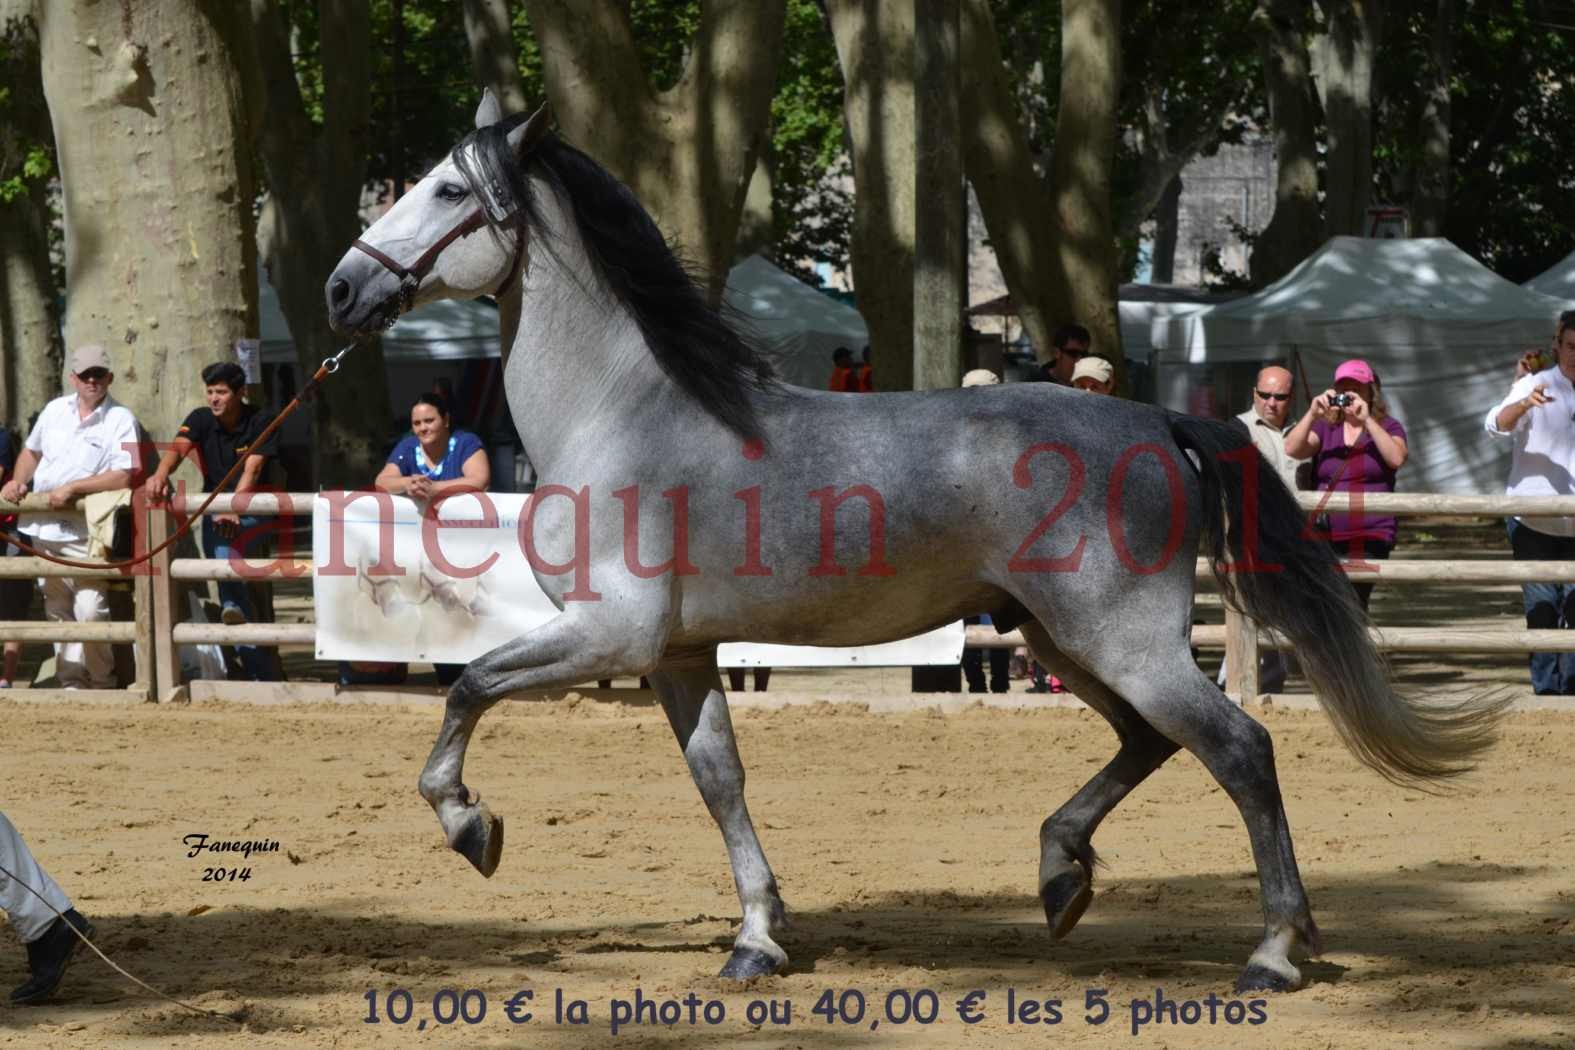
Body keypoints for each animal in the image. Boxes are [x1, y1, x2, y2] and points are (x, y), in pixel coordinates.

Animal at [326, 92, 1505, 994]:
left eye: (446, 190)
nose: (343, 287)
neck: (628, 410)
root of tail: (1156, 420)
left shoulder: (608, 636)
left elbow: (467, 686)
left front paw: (472, 827)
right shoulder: (675, 654)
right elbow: (720, 780)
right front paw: (757, 940)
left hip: (1116, 642)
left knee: (1239, 749)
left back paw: (1271, 951)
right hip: (1059, 640)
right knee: (1150, 742)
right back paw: (1061, 876)